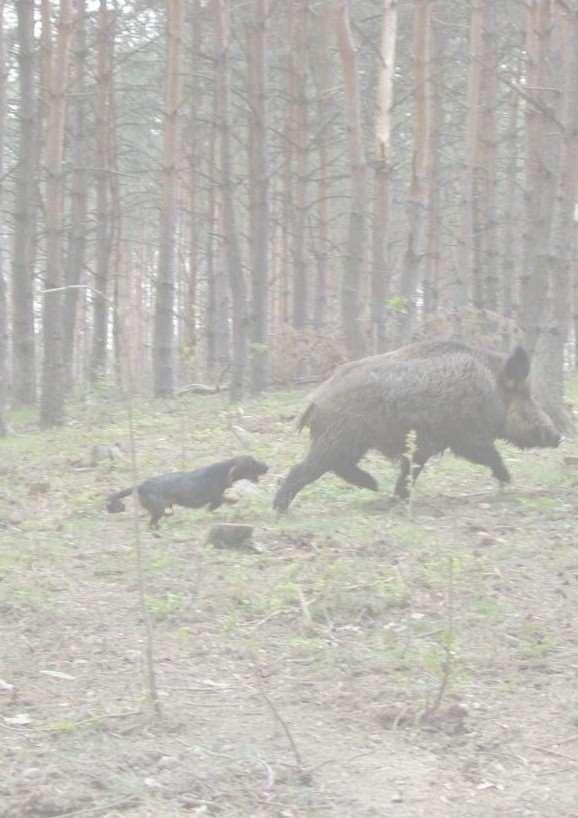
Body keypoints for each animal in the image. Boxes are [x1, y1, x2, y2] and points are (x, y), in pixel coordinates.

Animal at [106, 452, 268, 528]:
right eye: (252, 463)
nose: (267, 466)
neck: (222, 472)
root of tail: (140, 486)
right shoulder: (214, 496)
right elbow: (222, 500)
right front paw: (233, 500)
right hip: (158, 509)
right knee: (153, 522)